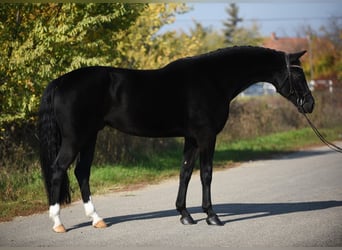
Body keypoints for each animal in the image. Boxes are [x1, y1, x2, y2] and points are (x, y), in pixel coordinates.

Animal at [38, 45, 314, 232]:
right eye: (299, 76)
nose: (310, 104)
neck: (213, 78)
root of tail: (60, 82)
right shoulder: (206, 137)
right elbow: (206, 174)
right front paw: (211, 216)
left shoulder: (191, 138)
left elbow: (185, 172)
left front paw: (185, 215)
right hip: (75, 138)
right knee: (57, 170)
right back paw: (58, 223)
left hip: (89, 138)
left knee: (82, 172)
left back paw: (97, 219)